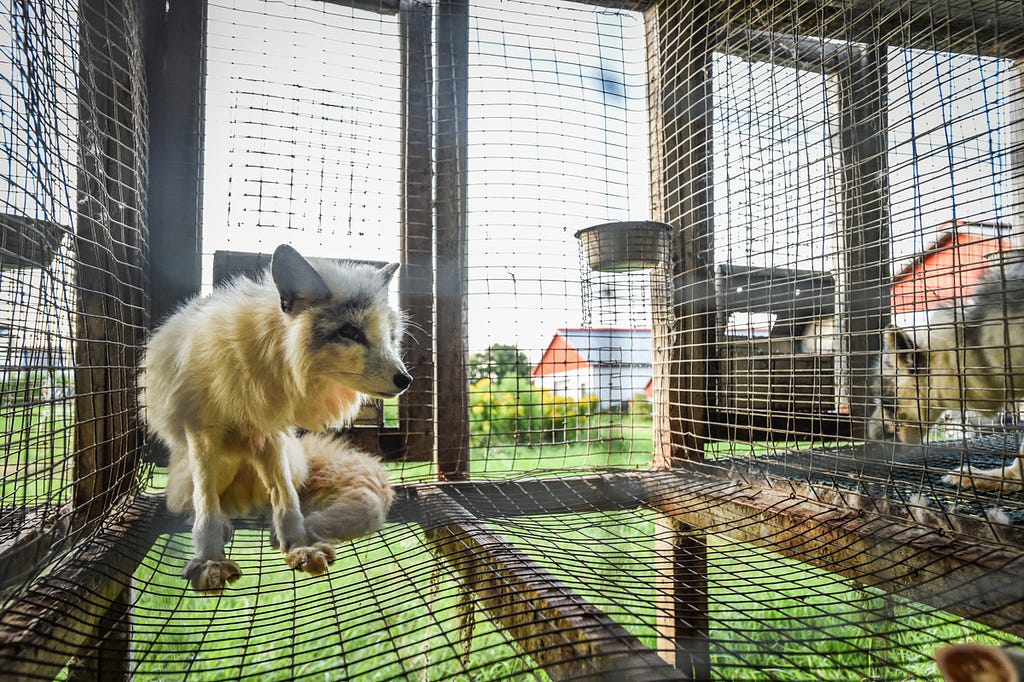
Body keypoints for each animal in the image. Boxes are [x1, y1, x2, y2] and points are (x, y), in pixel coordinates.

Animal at [141, 242, 411, 589]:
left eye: (390, 337)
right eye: (350, 332)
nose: (406, 380)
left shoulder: (270, 434)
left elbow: (287, 500)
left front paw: (299, 546)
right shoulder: (202, 432)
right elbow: (207, 506)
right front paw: (210, 559)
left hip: (286, 459)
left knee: (278, 497)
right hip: (212, 464)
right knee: (194, 503)